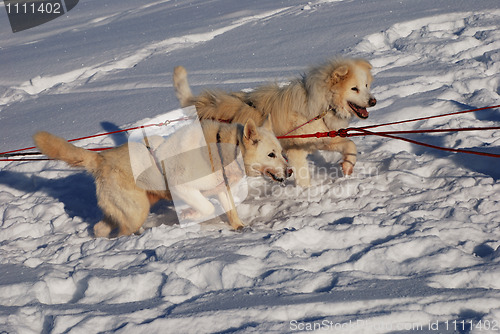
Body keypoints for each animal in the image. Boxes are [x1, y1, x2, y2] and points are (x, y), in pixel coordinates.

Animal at [33, 118, 290, 236]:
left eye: (281, 152)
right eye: (271, 154)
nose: (290, 171)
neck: (219, 150)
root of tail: (101, 158)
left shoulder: (221, 188)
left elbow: (230, 210)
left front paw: (239, 227)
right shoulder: (183, 188)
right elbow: (206, 207)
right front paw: (189, 214)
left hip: (128, 209)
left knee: (100, 227)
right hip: (138, 210)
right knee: (122, 231)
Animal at [174, 58, 376, 187]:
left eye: (366, 85)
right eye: (354, 88)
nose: (373, 101)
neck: (320, 107)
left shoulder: (321, 138)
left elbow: (350, 145)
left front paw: (348, 166)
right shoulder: (296, 151)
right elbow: (304, 178)